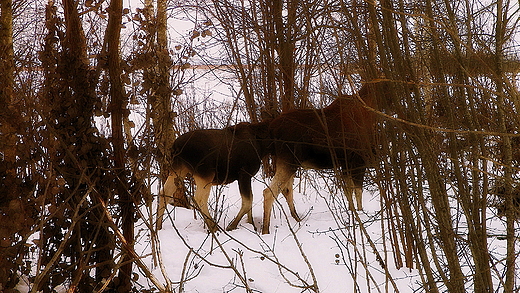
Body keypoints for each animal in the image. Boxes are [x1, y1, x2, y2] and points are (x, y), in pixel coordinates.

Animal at [260, 79, 394, 233]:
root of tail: (272, 130)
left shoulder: (345, 162)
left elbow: (349, 191)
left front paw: (351, 212)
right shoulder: (358, 159)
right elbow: (358, 190)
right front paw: (360, 214)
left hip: (289, 162)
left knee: (286, 189)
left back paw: (297, 219)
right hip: (289, 160)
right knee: (269, 192)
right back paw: (266, 229)